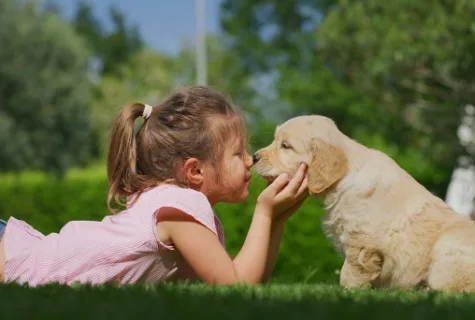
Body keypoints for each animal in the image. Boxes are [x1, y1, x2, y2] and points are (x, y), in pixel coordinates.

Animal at [255, 115, 475, 292]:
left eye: (286, 146)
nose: (254, 157)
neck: (344, 178)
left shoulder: (362, 242)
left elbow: (349, 272)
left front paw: (350, 292)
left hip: (447, 249)